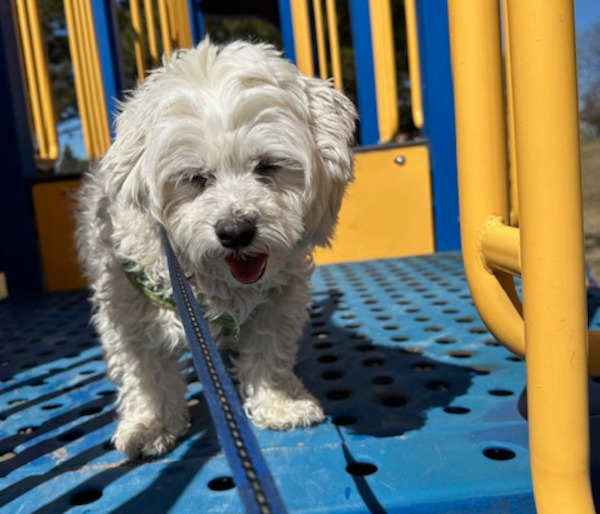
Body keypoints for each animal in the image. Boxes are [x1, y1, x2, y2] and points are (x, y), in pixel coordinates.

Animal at [75, 39, 356, 456]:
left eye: (267, 166)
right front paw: (151, 423)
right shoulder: (130, 312)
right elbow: (146, 373)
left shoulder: (277, 301)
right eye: (195, 178)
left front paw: (279, 403)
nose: (236, 231)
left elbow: (268, 354)